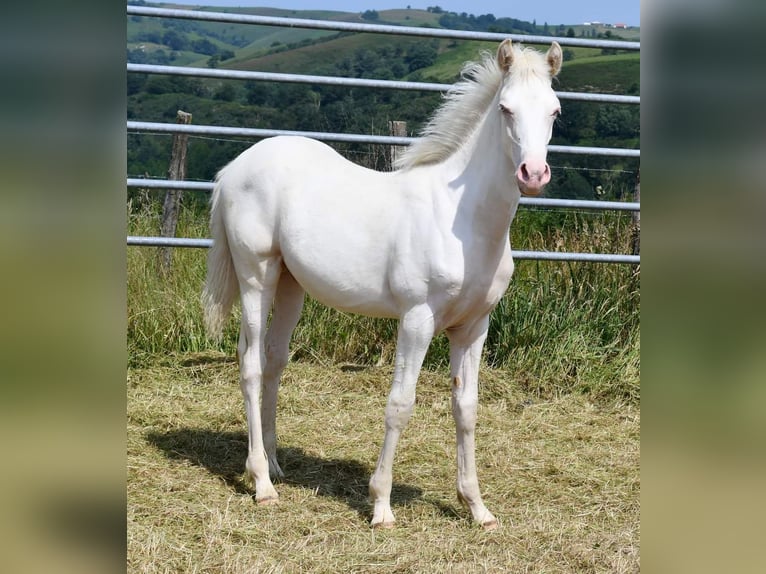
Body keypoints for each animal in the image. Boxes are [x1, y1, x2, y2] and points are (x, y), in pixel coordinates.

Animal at [204, 40, 564, 532]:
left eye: (555, 110)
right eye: (506, 108)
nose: (533, 174)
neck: (461, 219)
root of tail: (234, 168)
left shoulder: (474, 327)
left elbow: (466, 408)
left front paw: (477, 507)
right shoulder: (417, 320)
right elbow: (400, 404)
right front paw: (381, 507)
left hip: (291, 283)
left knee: (275, 360)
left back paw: (276, 464)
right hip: (256, 275)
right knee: (252, 364)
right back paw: (261, 483)